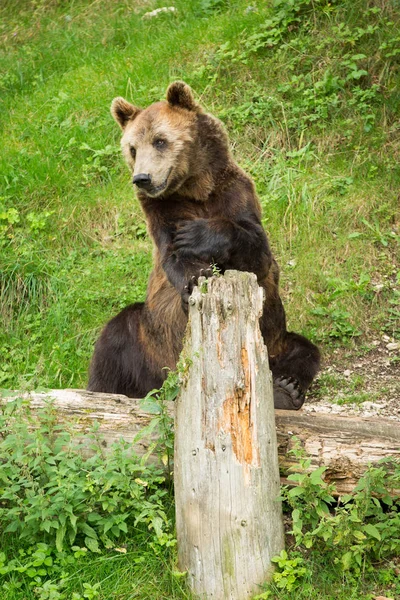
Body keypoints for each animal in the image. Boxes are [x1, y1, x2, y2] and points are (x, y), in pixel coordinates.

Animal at [87, 81, 318, 408]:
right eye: (132, 148)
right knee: (115, 337)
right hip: (151, 335)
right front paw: (196, 277)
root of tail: (164, 380)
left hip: (275, 339)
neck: (195, 188)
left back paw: (286, 388)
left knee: (304, 349)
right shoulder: (162, 211)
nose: (142, 178)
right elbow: (175, 256)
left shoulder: (234, 191)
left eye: (160, 141)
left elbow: (258, 250)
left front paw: (198, 234)